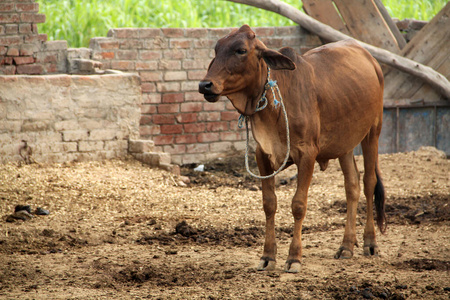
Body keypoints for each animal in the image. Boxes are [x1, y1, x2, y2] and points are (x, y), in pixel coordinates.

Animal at [199, 25, 384, 274]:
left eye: (241, 50)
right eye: (216, 49)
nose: (205, 85)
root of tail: (369, 57)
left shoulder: (307, 155)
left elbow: (298, 205)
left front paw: (294, 257)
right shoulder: (262, 155)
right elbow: (269, 203)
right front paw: (268, 256)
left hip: (373, 131)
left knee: (368, 183)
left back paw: (369, 242)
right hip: (344, 143)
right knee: (351, 186)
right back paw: (346, 246)